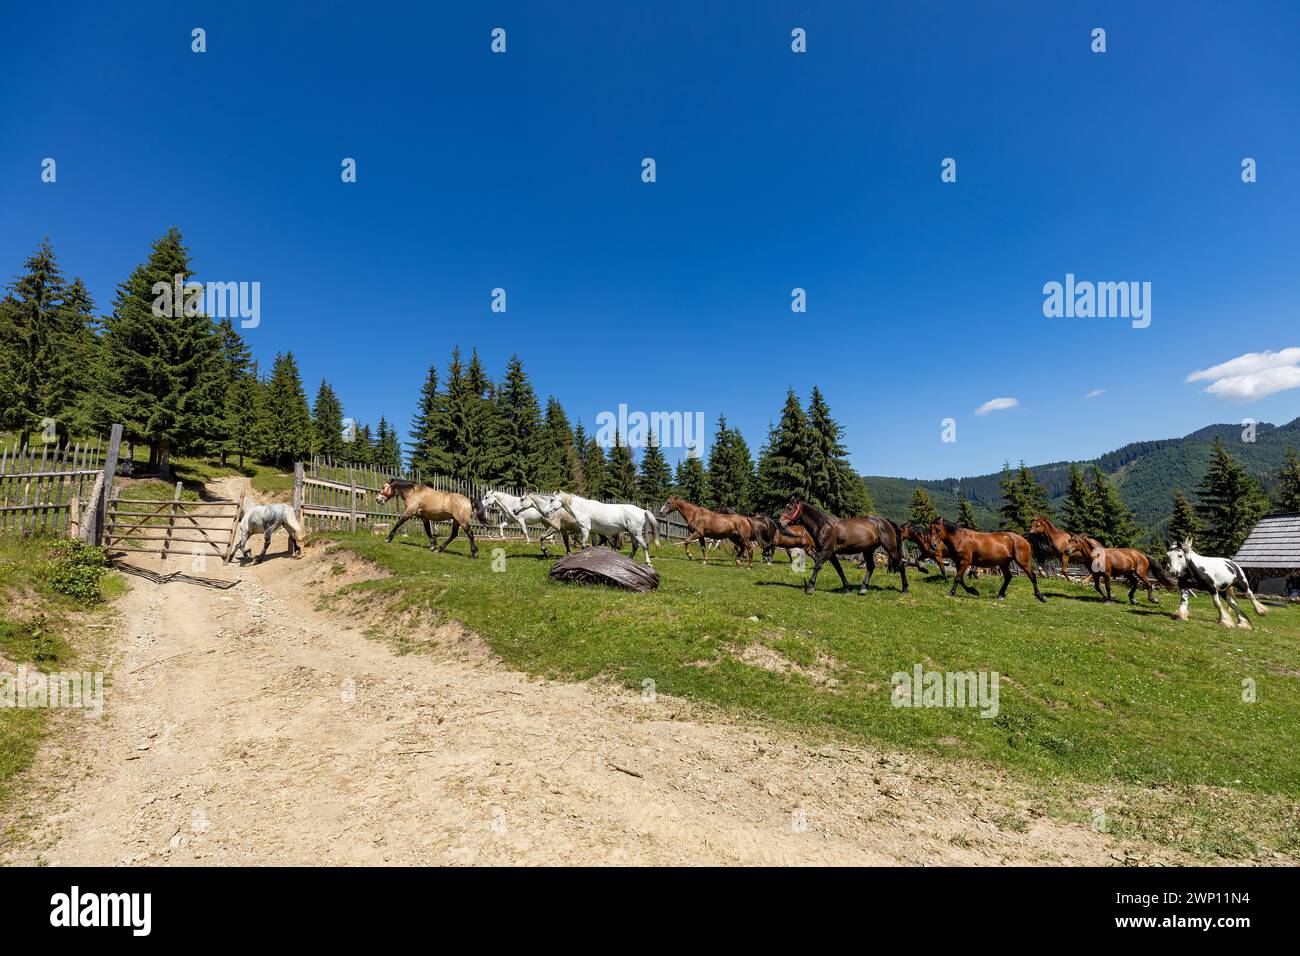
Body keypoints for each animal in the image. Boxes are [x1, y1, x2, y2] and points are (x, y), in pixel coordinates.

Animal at [779, 497, 907, 594]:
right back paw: (863, 589)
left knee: (900, 564)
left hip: (891, 548)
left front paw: (810, 588)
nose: (780, 523)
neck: (824, 526)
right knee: (871, 567)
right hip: (868, 550)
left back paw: (904, 588)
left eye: (790, 508)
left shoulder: (826, 551)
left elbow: (817, 566)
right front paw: (847, 589)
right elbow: (839, 569)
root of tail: (885, 521)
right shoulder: (831, 554)